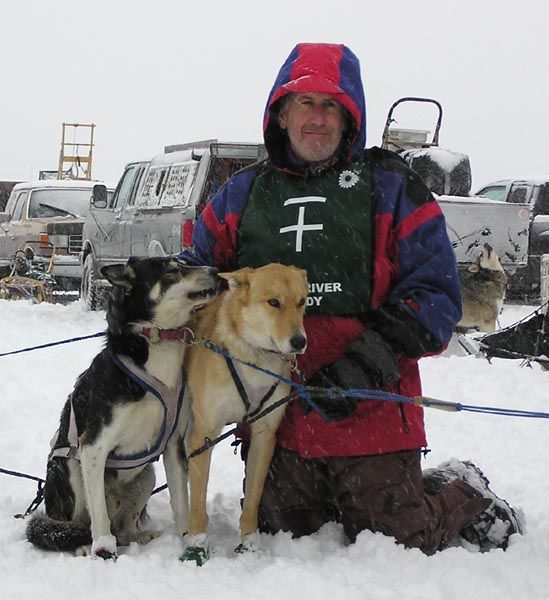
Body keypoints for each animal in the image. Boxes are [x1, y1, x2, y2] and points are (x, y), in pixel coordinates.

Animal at [25, 256, 218, 556]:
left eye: (183, 262)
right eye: (171, 270)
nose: (216, 272)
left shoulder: (173, 445)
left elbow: (180, 502)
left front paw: (187, 539)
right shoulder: (93, 446)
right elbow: (100, 518)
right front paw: (104, 549)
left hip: (146, 478)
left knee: (124, 528)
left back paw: (138, 536)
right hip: (70, 469)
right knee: (78, 524)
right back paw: (83, 546)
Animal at [180, 262, 308, 564]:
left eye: (302, 302)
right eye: (274, 302)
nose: (300, 341)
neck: (253, 357)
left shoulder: (264, 434)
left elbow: (252, 499)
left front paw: (249, 544)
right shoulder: (204, 435)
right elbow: (199, 504)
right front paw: (197, 545)